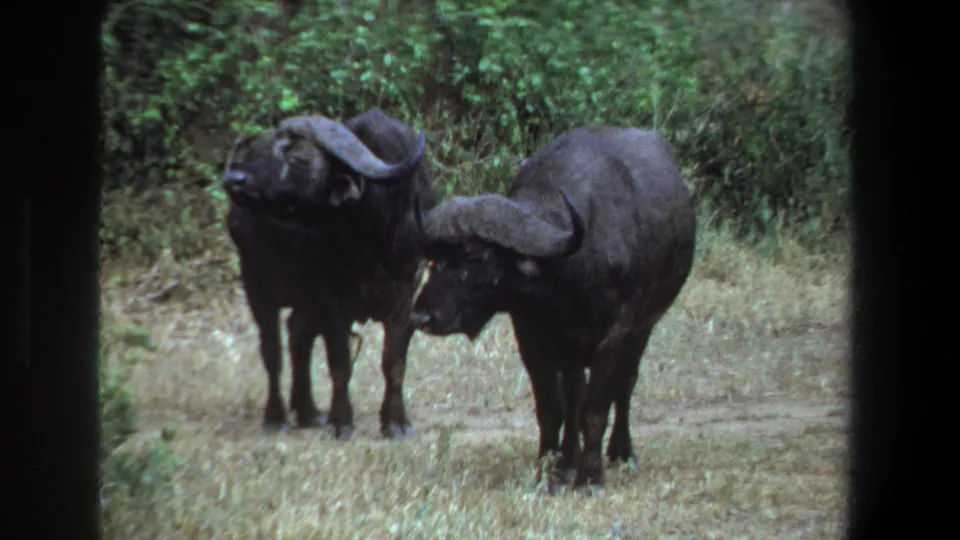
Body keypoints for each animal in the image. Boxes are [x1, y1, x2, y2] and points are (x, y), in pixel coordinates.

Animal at [222, 109, 438, 439]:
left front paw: (396, 422)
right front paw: (342, 421)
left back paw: (308, 410)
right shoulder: (332, 303)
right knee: (273, 352)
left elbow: (394, 363)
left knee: (298, 333)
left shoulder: (405, 297)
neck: (372, 238)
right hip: (256, 285)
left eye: (299, 158)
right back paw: (277, 416)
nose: (235, 179)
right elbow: (340, 362)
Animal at [409, 125, 696, 489]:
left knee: (625, 383)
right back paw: (570, 462)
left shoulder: (614, 336)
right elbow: (552, 408)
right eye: (435, 259)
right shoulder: (532, 340)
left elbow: (596, 408)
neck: (565, 281)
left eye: (474, 256)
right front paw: (549, 473)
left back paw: (621, 452)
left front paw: (592, 478)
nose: (421, 315)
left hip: (645, 327)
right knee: (574, 394)